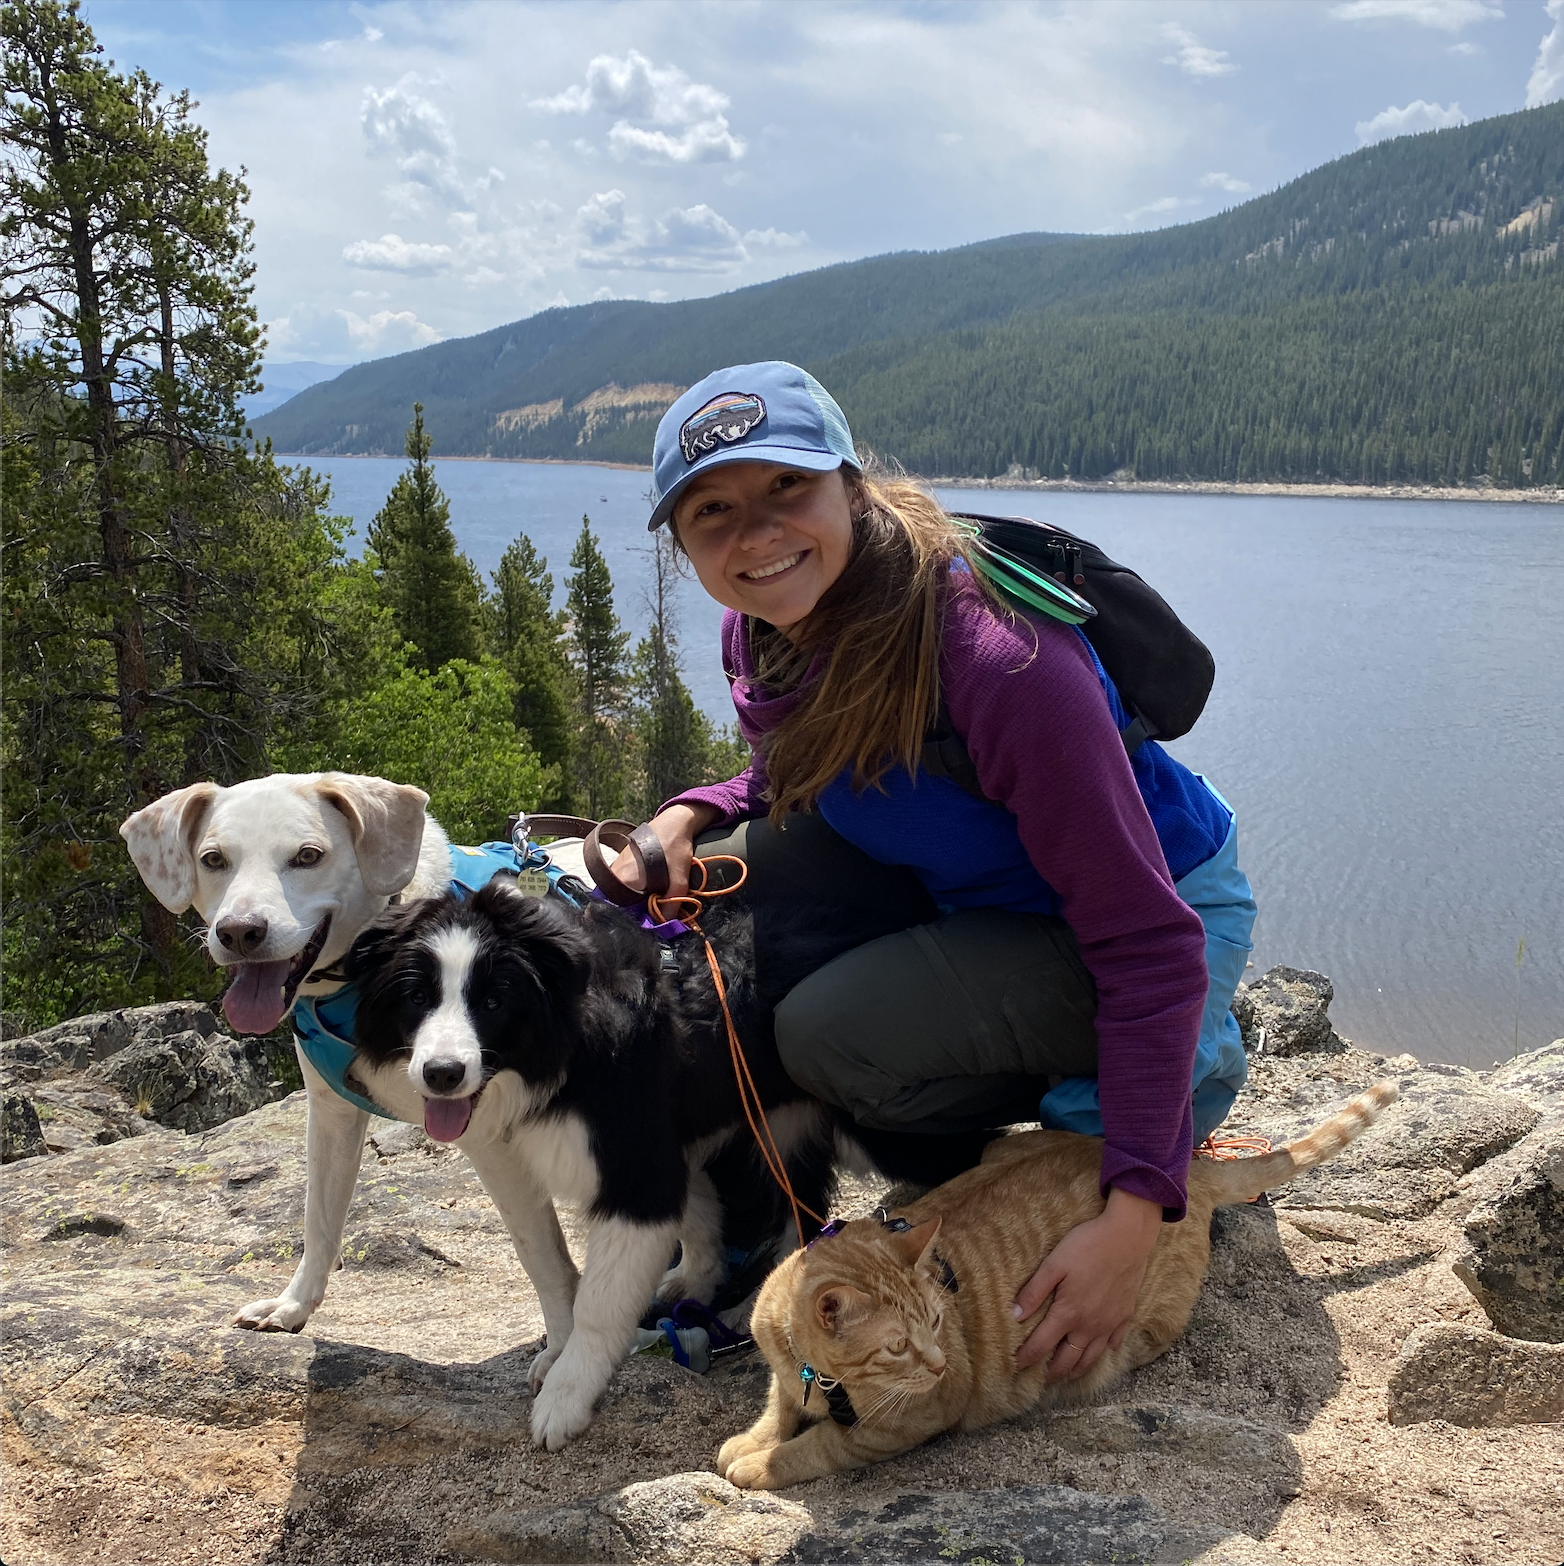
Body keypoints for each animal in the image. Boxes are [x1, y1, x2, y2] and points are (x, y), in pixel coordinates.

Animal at [717, 1083, 1396, 1484]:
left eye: (937, 1323)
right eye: (897, 1345)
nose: (938, 1365)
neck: (823, 1377)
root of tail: (1186, 1172)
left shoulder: (907, 1423)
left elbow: (821, 1445)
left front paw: (760, 1464)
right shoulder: (787, 1372)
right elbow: (777, 1407)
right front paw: (751, 1440)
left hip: (1126, 1337)